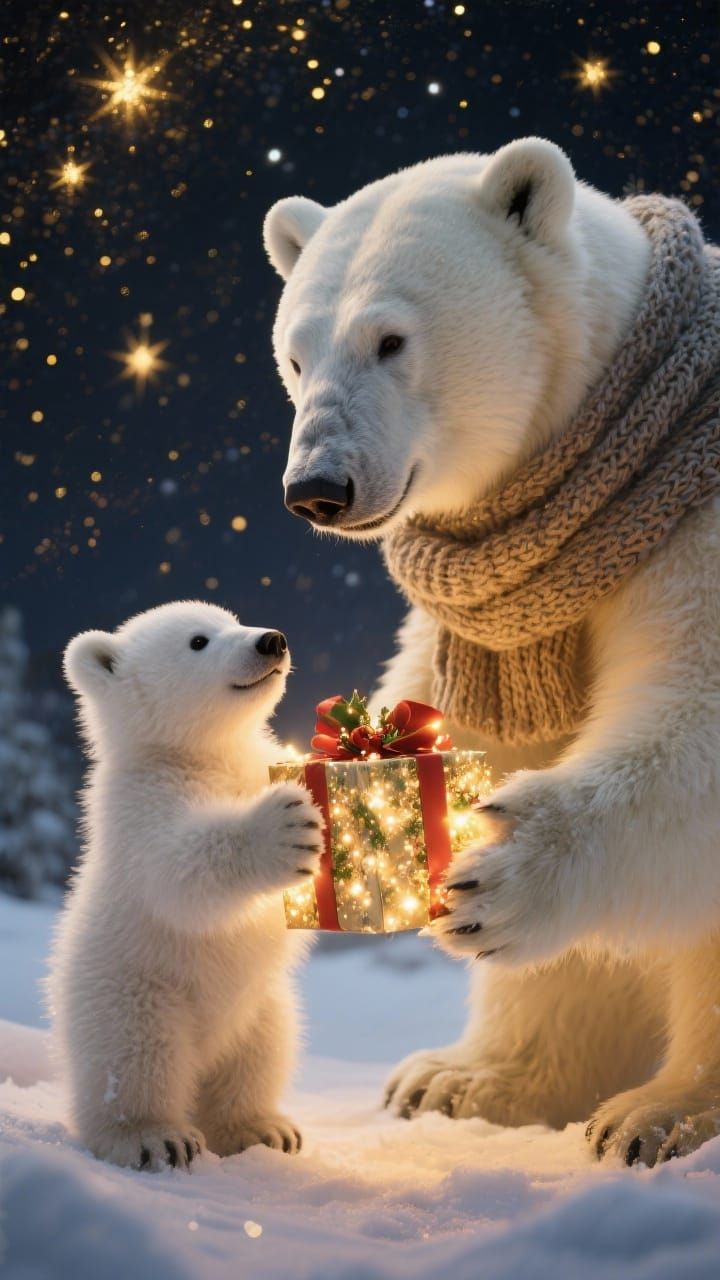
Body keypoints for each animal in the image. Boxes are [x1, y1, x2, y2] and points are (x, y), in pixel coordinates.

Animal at [48, 600, 324, 1171]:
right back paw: (155, 1136)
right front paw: (283, 828)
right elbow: (178, 870)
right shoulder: (143, 806)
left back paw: (262, 1128)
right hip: (135, 993)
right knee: (136, 1063)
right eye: (199, 641)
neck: (201, 755)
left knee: (261, 1054)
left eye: (232, 619)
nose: (272, 640)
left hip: (260, 1005)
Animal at [263, 138, 720, 1167]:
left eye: (391, 341)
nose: (317, 487)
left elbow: (694, 719)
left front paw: (499, 875)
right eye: (295, 354)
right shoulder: (505, 611)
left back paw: (663, 1113)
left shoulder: (697, 530)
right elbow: (484, 729)